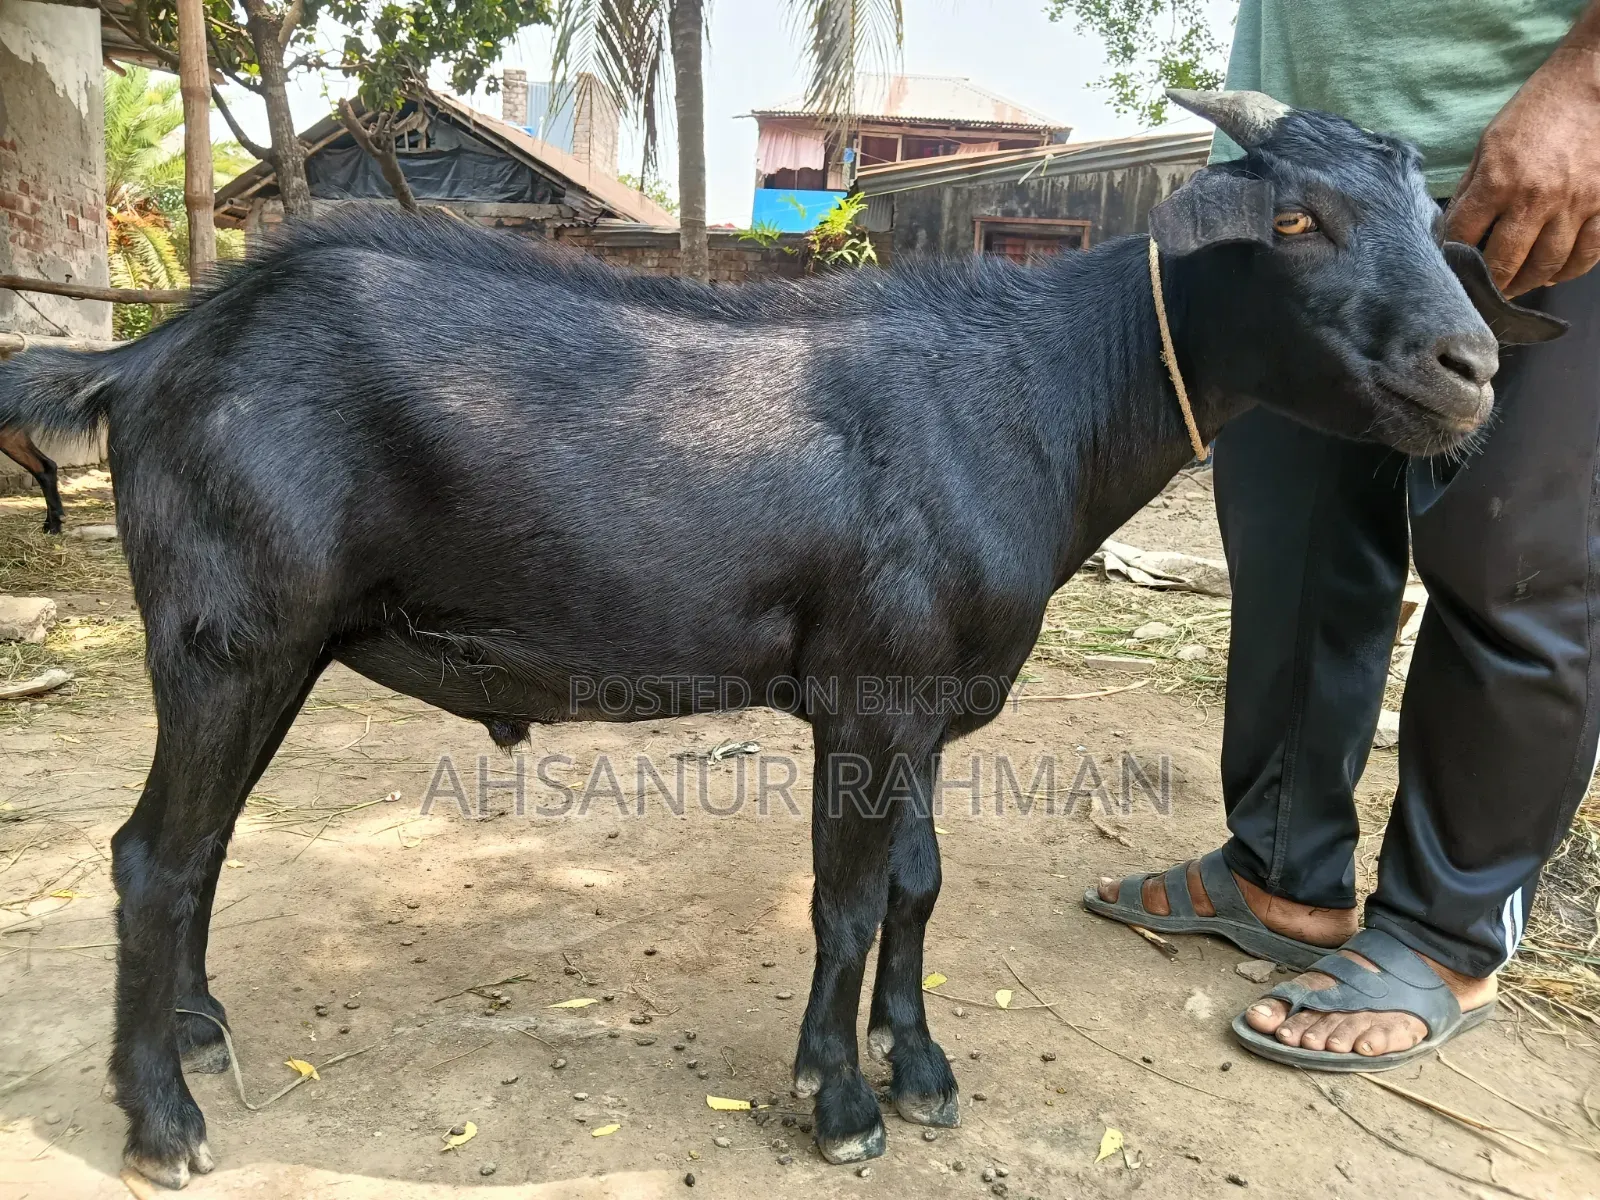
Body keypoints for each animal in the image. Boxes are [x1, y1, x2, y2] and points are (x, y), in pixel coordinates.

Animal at [0, 91, 1565, 1187]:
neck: (1038, 394)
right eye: (1295, 223)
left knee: (202, 849)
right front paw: (844, 1100)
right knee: (151, 858)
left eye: (1439, 223)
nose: (1470, 370)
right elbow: (848, 899)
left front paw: (919, 1068)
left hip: (270, 648)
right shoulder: (866, 695)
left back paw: (201, 1035)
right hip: (229, 634)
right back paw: (164, 1121)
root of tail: (151, 354)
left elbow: (920, 887)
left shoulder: (933, 699)